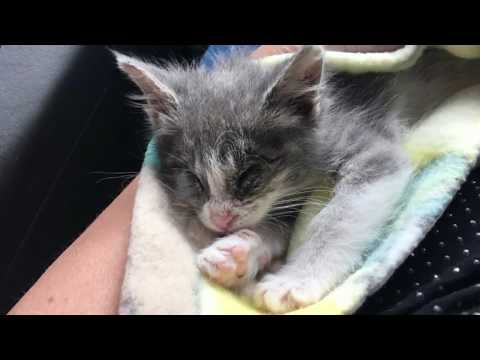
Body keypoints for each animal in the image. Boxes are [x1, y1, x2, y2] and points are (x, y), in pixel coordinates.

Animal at [114, 46, 480, 314]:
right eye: (192, 178)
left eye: (250, 174)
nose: (220, 220)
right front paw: (238, 253)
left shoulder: (372, 149)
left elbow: (339, 219)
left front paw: (295, 280)